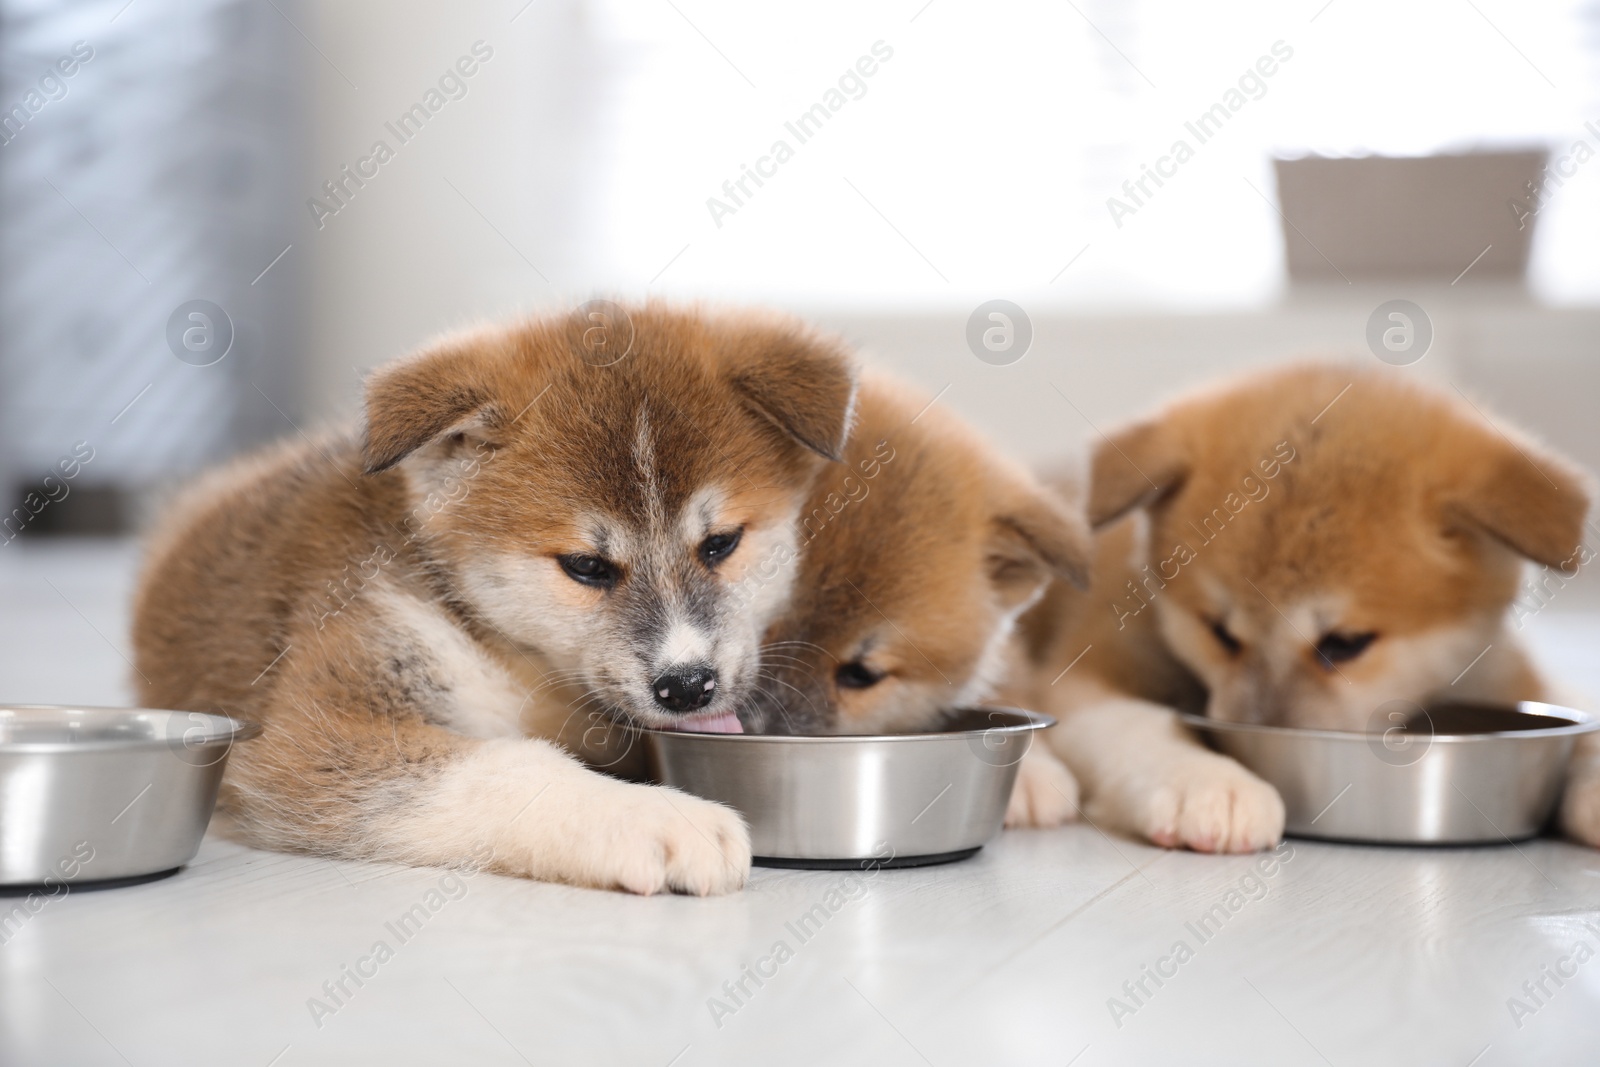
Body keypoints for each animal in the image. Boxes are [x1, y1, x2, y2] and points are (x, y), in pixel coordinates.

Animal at [134, 302, 864, 895]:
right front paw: (653, 814)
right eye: (586, 566)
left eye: (720, 544)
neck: (510, 656)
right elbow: (512, 764)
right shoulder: (317, 734)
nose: (687, 685)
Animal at [1017, 363, 1593, 857]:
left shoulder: (1503, 673)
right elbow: (1142, 724)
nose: (1261, 741)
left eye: (1345, 643)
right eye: (1219, 632)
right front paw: (1208, 779)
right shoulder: (1082, 674)